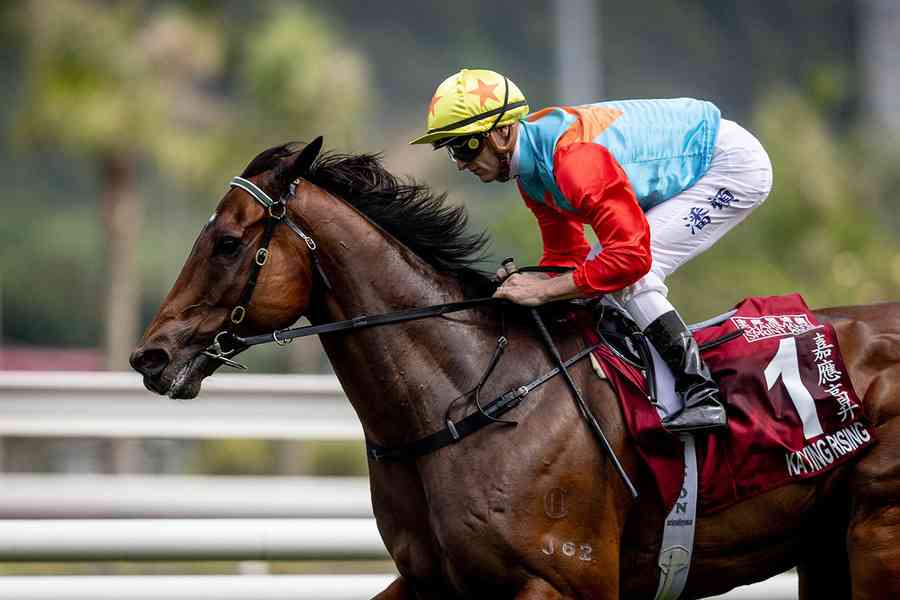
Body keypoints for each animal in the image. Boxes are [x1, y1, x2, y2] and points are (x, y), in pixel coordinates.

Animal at [130, 138, 900, 599]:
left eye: (228, 243)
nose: (150, 356)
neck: (468, 398)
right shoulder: (429, 581)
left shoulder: (564, 582)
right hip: (826, 546)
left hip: (876, 534)